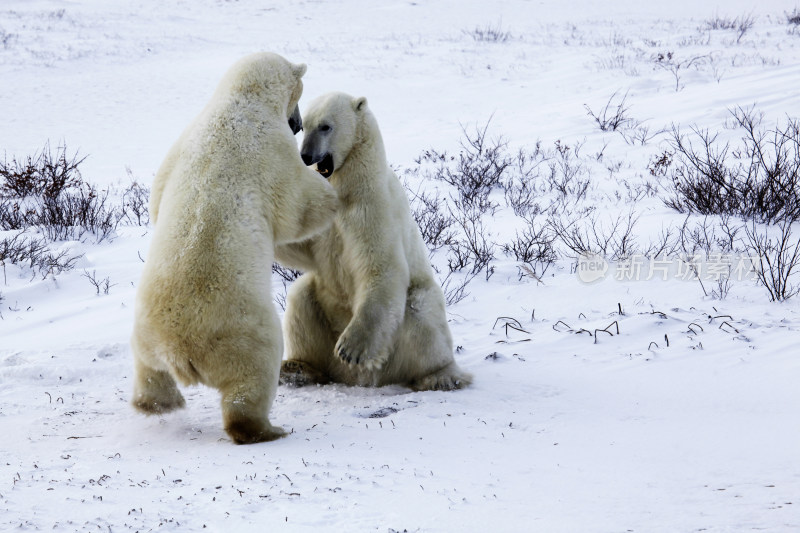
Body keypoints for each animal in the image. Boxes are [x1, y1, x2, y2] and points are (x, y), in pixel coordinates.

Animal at [131, 53, 338, 444]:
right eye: (298, 94)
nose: (296, 124)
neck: (238, 101)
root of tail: (181, 349)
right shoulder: (271, 150)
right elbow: (297, 207)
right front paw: (329, 190)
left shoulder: (180, 146)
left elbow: (157, 197)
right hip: (241, 329)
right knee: (253, 375)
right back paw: (266, 428)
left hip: (147, 330)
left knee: (148, 368)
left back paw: (157, 403)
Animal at [276, 91, 472, 390]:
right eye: (305, 126)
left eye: (325, 126)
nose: (306, 155)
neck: (350, 185)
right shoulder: (323, 210)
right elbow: (299, 243)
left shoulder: (373, 206)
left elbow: (381, 265)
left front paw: (351, 349)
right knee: (302, 297)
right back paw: (296, 368)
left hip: (404, 331)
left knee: (421, 311)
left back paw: (441, 376)